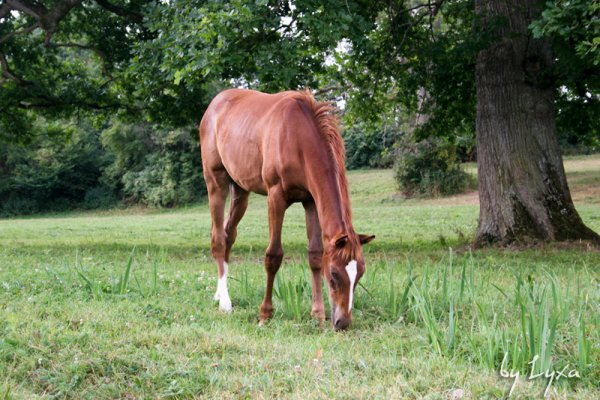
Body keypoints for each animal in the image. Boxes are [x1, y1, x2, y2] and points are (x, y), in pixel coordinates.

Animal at [199, 89, 372, 330]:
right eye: (334, 273)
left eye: (360, 273)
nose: (342, 322)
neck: (297, 137)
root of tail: (213, 105)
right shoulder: (276, 197)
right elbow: (273, 256)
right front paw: (265, 315)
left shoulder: (311, 201)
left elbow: (315, 255)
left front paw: (318, 314)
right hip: (216, 182)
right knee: (218, 239)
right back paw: (225, 302)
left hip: (241, 190)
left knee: (228, 234)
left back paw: (218, 293)